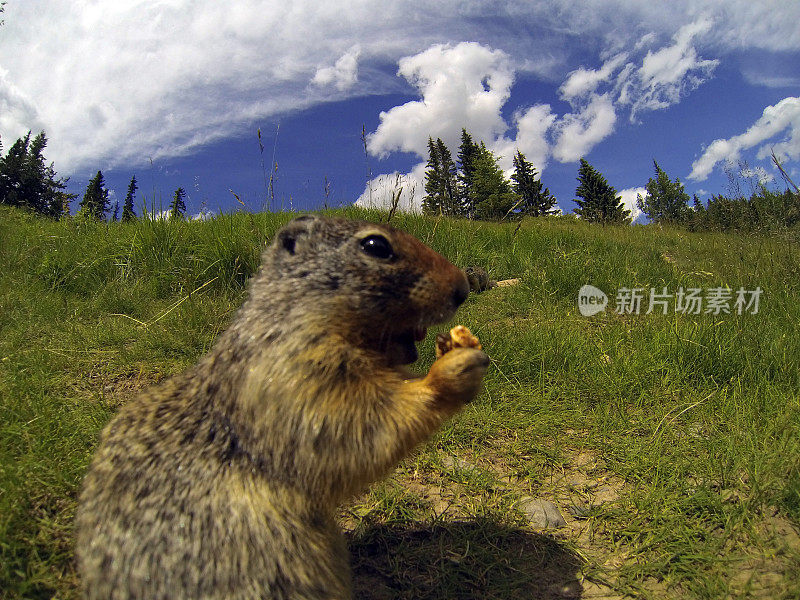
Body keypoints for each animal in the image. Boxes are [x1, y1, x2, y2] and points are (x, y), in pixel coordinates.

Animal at [76, 216, 488, 600]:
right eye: (376, 246)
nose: (462, 287)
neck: (295, 318)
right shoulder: (293, 373)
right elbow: (352, 422)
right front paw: (452, 369)